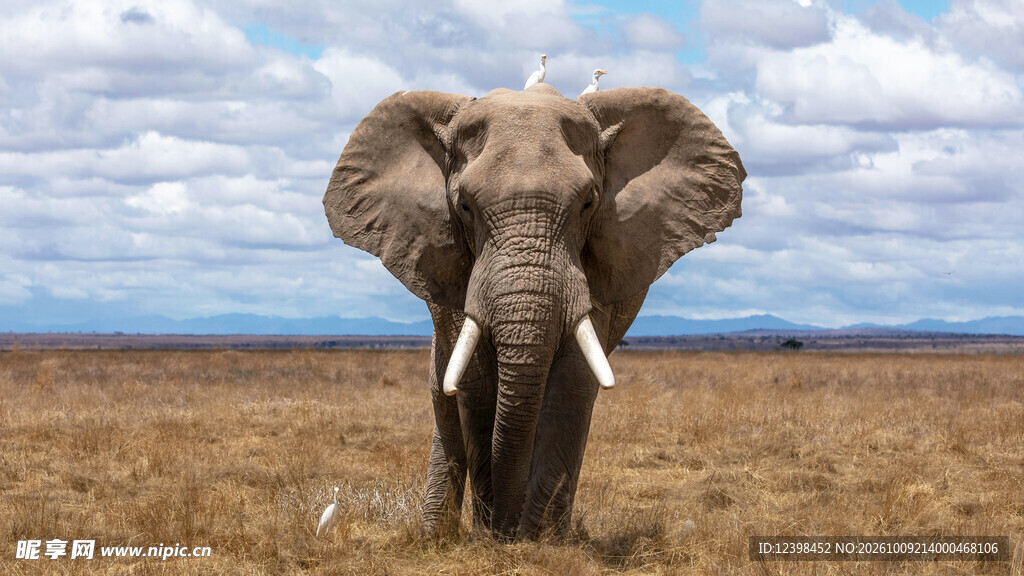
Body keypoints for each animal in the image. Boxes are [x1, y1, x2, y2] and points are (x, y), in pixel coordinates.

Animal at [323, 83, 745, 541]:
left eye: (588, 203)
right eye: (465, 206)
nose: (505, 531)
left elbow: (572, 384)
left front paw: (539, 541)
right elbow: (475, 386)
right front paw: (494, 536)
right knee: (445, 399)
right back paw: (436, 535)